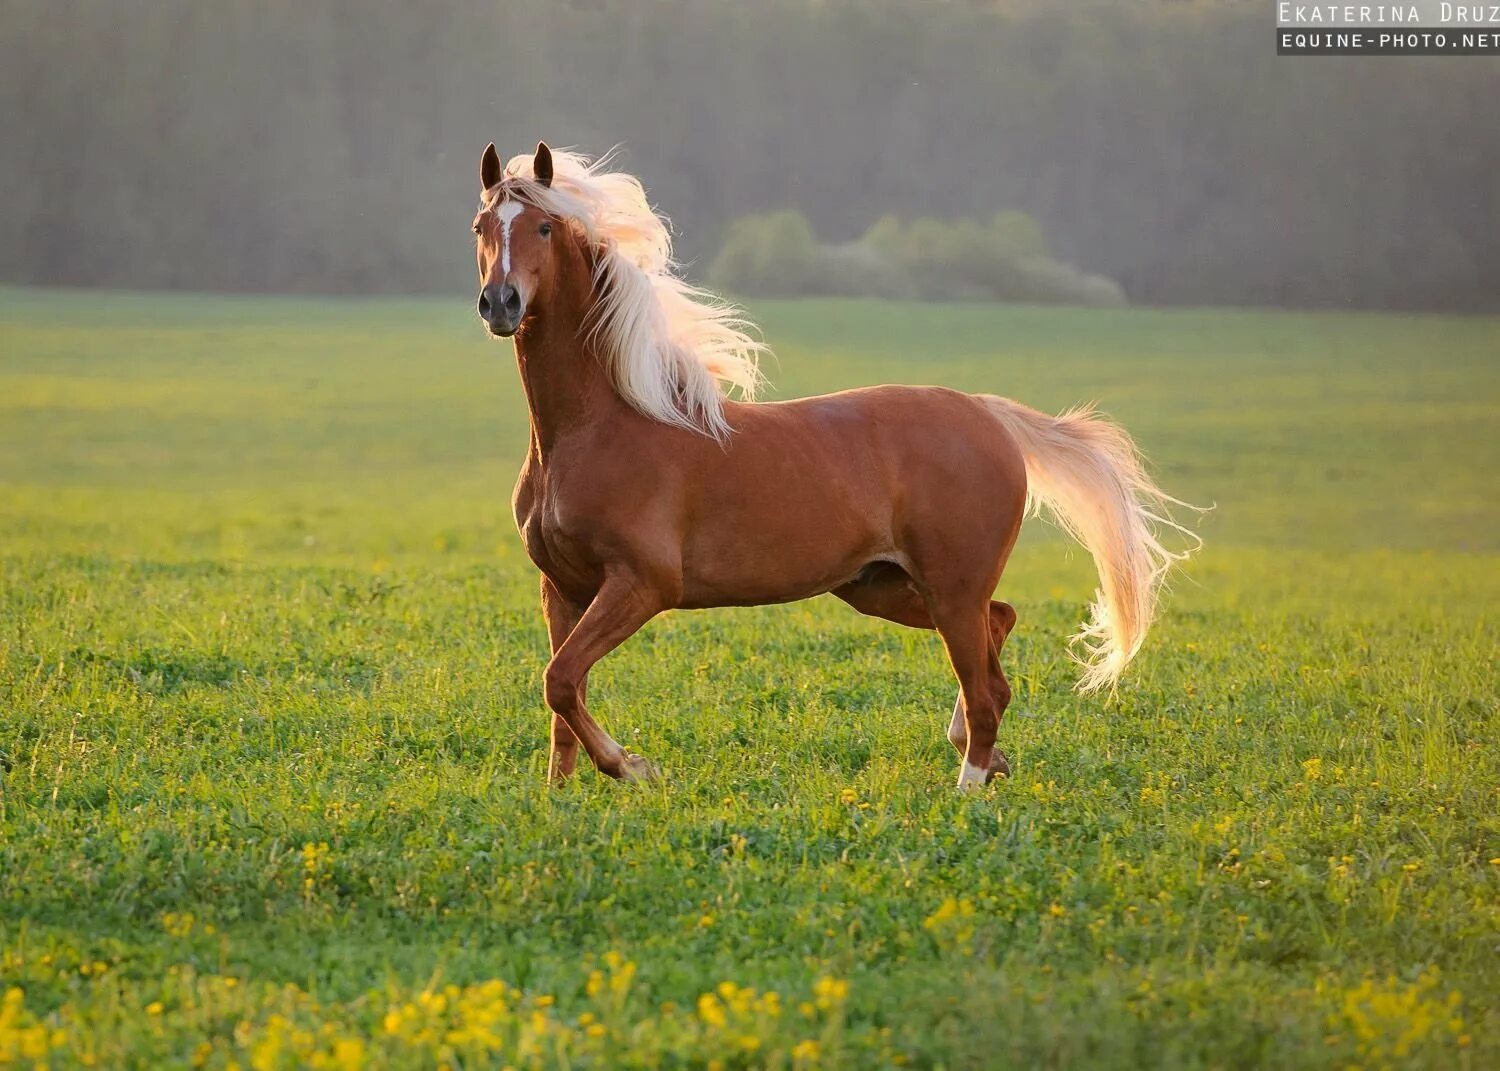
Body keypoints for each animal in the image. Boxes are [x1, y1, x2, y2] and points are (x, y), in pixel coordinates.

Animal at [468, 139, 1194, 786]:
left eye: (542, 225)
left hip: (949, 587)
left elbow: (561, 679)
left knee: (986, 686)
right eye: (480, 225)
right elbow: (563, 696)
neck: (597, 428)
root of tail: (989, 416)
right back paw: (985, 760)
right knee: (1000, 633)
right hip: (883, 586)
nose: (500, 304)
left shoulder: (642, 584)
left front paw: (633, 768)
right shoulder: (562, 587)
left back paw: (969, 787)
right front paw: (561, 796)